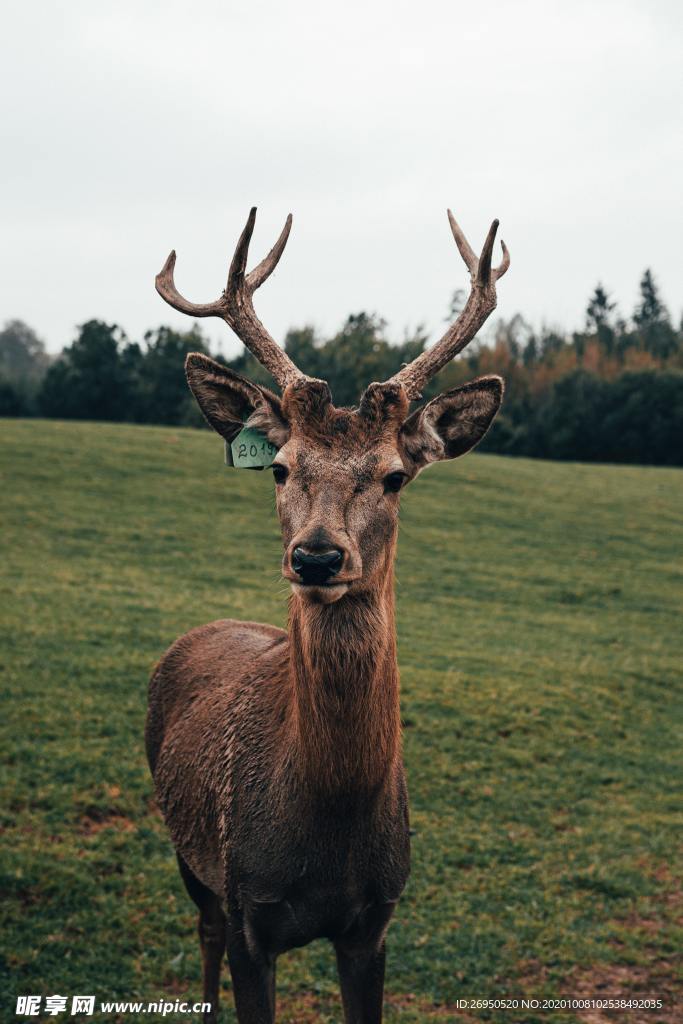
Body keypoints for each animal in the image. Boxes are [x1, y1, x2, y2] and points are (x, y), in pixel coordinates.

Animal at [147, 203, 509, 1019]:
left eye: (396, 475)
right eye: (280, 469)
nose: (316, 557)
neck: (327, 824)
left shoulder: (376, 921)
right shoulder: (249, 908)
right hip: (187, 847)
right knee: (202, 929)